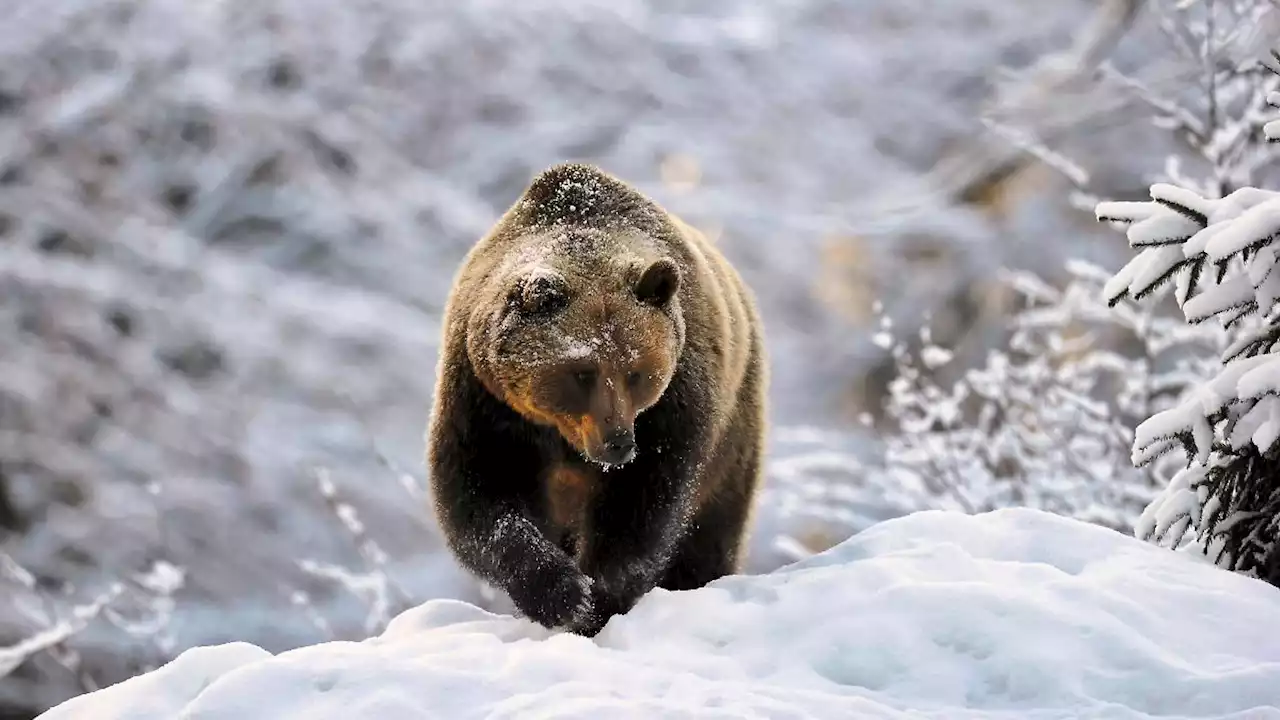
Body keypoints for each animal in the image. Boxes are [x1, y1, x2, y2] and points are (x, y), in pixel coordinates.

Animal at [424, 162, 762, 632]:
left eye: (637, 372)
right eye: (581, 371)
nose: (618, 443)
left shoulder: (673, 407)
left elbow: (642, 509)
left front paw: (599, 598)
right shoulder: (486, 402)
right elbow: (481, 496)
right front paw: (560, 593)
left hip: (734, 434)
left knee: (711, 530)